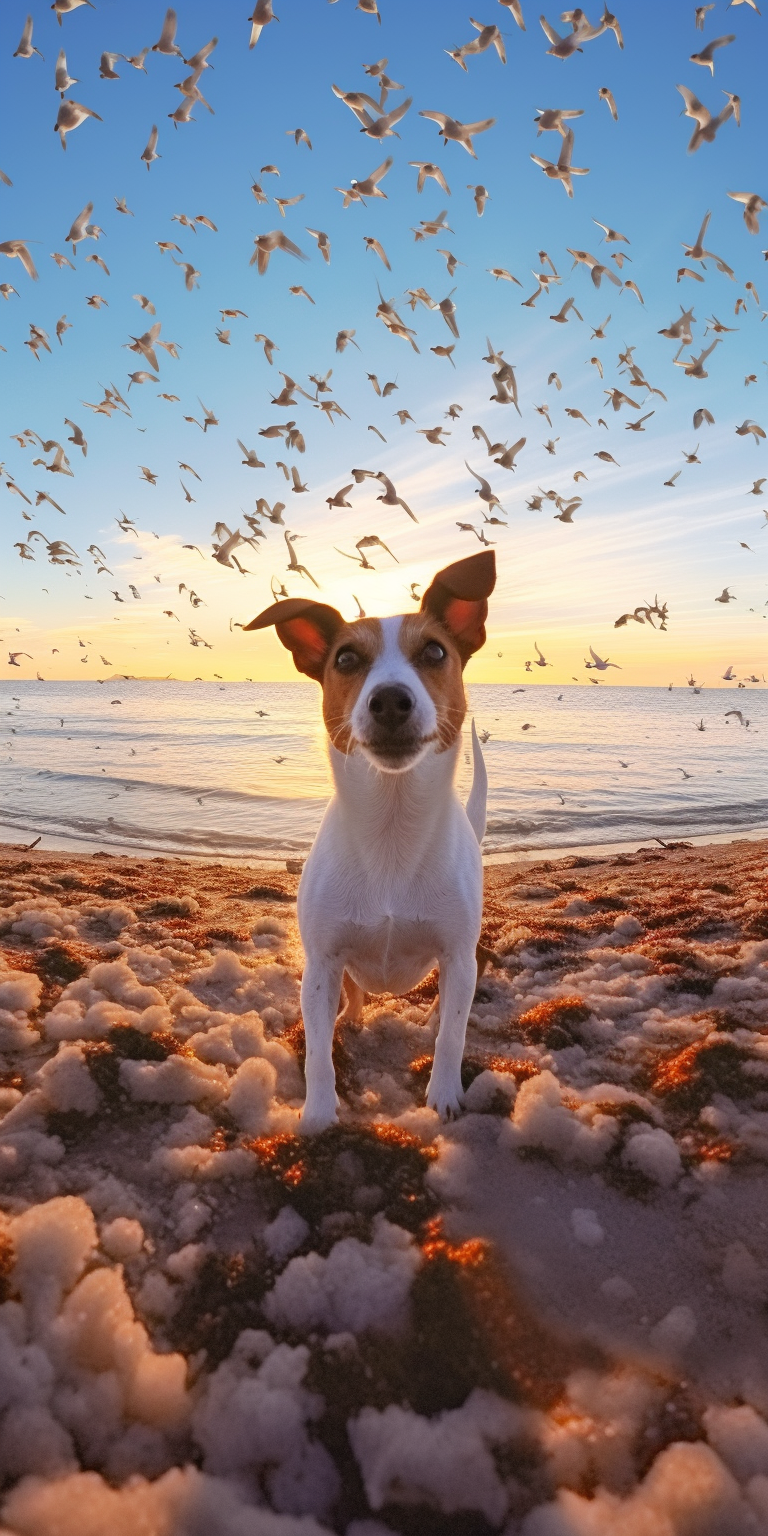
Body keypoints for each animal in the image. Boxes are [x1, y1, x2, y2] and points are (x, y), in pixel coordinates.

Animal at [247, 549, 497, 1130]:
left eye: (434, 651)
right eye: (345, 659)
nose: (389, 701)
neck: (391, 825)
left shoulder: (458, 956)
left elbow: (453, 1035)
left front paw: (444, 1093)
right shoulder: (320, 964)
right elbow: (317, 1051)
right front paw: (318, 1113)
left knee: (451, 1002)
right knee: (355, 993)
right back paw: (354, 1016)